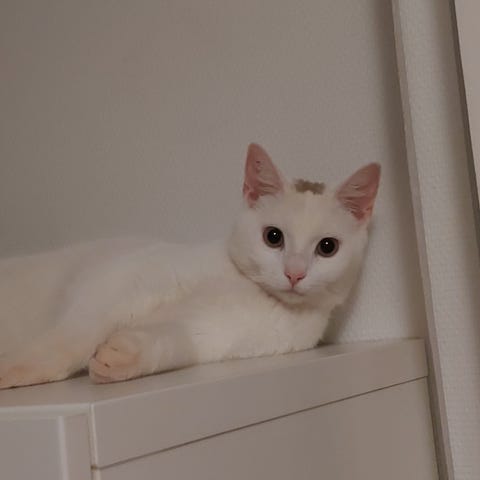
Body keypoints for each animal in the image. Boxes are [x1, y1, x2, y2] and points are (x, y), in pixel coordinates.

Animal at [0, 143, 380, 388]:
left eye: (327, 247)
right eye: (273, 237)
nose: (294, 273)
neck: (247, 289)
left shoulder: (212, 335)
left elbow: (173, 341)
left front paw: (120, 358)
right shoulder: (123, 282)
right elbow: (72, 338)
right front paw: (15, 369)